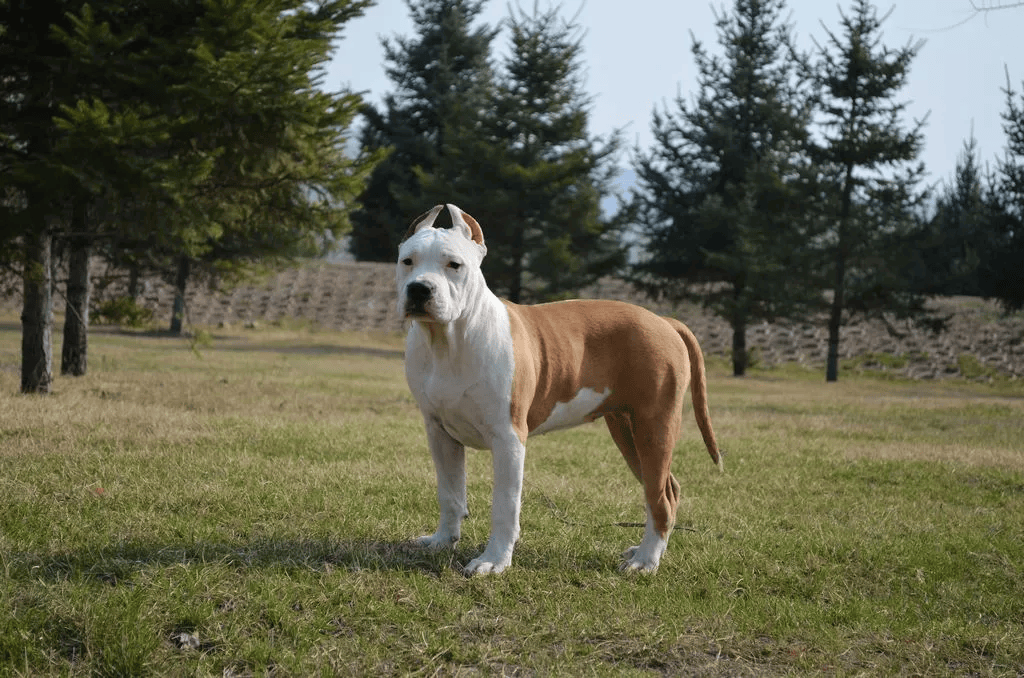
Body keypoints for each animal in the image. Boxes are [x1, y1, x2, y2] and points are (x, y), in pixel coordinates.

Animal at [395, 204, 724, 577]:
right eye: (408, 261)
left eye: (454, 264)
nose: (419, 289)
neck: (448, 340)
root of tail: (664, 321)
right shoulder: (439, 433)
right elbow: (449, 495)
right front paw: (441, 541)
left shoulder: (508, 439)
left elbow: (504, 506)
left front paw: (494, 561)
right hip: (629, 431)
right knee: (669, 488)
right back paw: (645, 550)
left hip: (655, 427)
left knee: (660, 497)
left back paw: (645, 561)